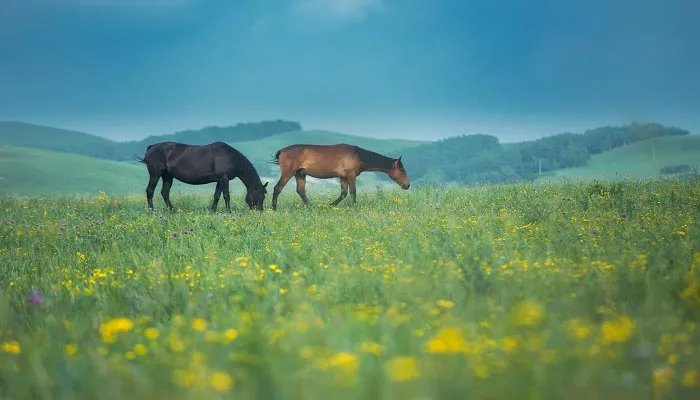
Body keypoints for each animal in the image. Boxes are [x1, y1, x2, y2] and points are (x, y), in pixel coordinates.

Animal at [139, 142, 268, 211]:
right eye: (261, 196)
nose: (260, 211)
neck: (231, 158)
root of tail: (151, 147)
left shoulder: (219, 180)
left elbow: (217, 196)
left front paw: (213, 211)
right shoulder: (224, 178)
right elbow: (226, 196)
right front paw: (229, 211)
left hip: (167, 176)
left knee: (165, 192)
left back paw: (172, 210)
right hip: (155, 174)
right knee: (150, 190)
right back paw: (152, 210)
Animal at [270, 143, 410, 210]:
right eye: (401, 169)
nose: (407, 185)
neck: (358, 155)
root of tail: (282, 151)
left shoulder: (343, 177)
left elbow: (343, 194)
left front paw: (330, 206)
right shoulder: (351, 176)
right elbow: (353, 192)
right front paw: (355, 207)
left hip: (300, 174)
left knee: (301, 191)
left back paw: (312, 207)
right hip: (288, 173)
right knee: (277, 188)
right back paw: (274, 208)